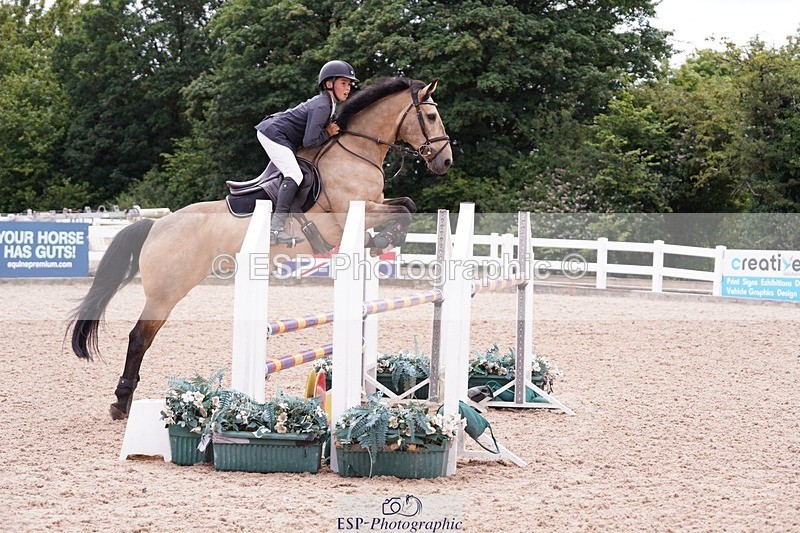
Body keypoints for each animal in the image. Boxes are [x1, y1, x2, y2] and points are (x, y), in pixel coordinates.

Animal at [67, 77, 453, 419]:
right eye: (431, 116)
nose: (445, 161)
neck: (355, 152)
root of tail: (156, 225)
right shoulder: (353, 212)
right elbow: (406, 207)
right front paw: (385, 239)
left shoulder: (374, 205)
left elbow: (406, 204)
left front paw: (380, 241)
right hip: (165, 293)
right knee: (138, 339)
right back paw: (121, 403)